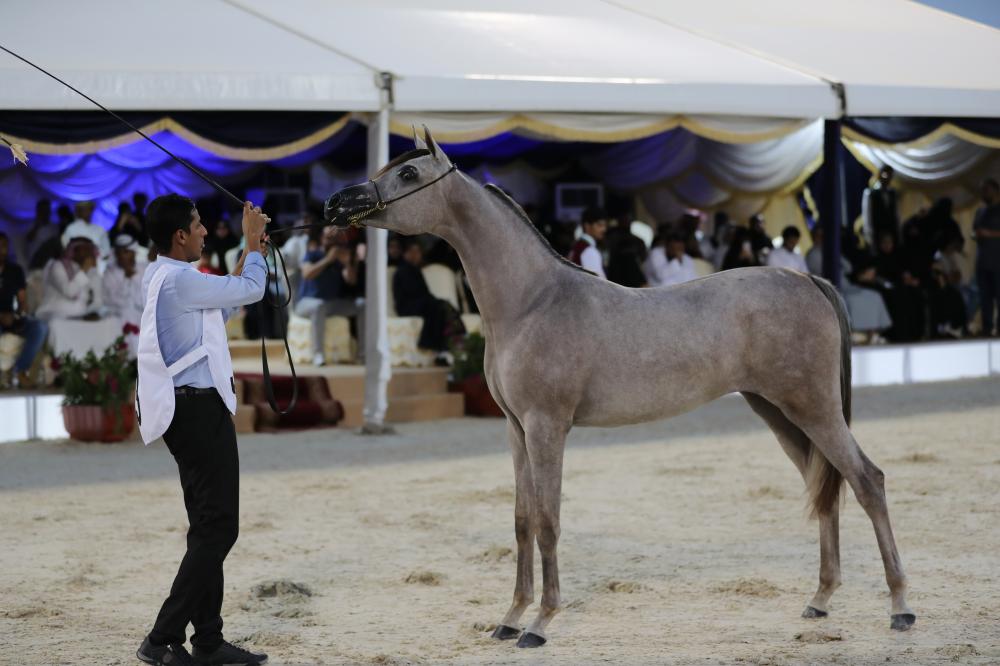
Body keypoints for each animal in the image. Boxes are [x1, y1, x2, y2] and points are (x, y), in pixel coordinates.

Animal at [326, 127, 916, 644]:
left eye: (407, 172)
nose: (336, 204)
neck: (533, 301)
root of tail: (806, 279)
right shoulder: (516, 430)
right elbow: (521, 521)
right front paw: (510, 618)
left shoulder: (547, 428)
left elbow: (548, 522)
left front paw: (540, 624)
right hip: (779, 412)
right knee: (827, 487)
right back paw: (820, 600)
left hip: (813, 407)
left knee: (867, 480)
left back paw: (901, 607)